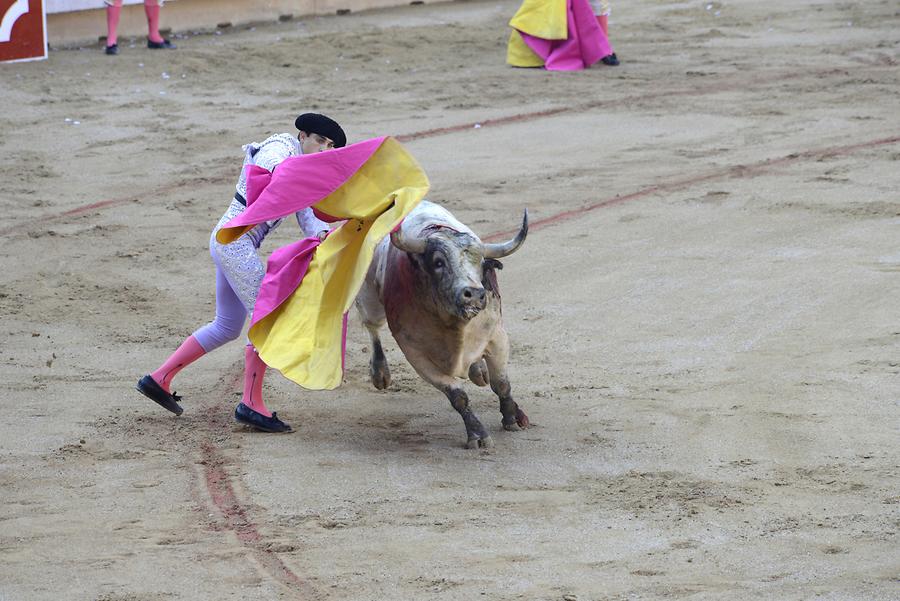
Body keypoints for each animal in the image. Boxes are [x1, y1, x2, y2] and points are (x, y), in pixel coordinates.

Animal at [356, 200, 532, 446]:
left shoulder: (497, 336)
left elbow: (502, 383)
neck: (453, 323)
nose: (474, 295)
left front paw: (512, 418)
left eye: (481, 265)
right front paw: (477, 434)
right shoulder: (416, 354)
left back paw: (479, 371)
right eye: (438, 262)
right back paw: (380, 374)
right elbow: (458, 396)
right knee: (372, 328)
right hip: (368, 298)